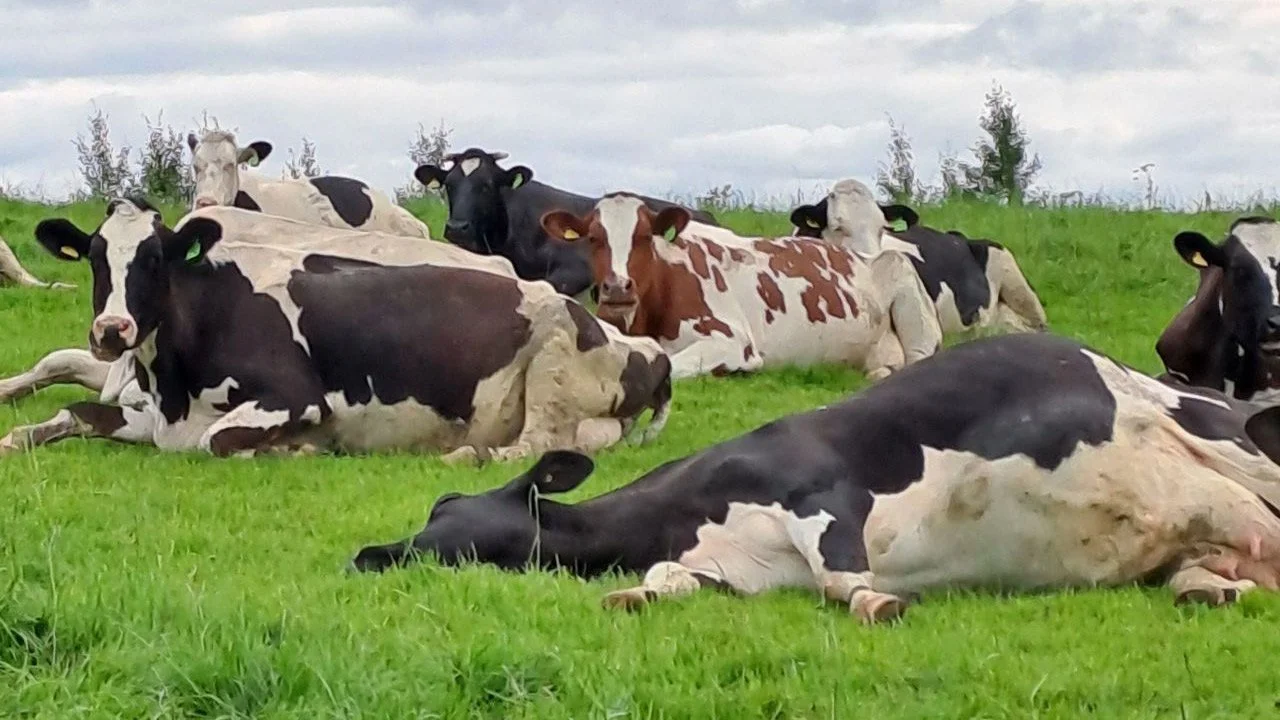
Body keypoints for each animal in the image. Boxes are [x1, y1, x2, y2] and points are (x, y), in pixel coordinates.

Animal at [0, 199, 671, 461]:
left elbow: (217, 438)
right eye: (95, 258)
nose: (113, 329)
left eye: (156, 259)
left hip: (553, 359)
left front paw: (294, 448)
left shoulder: (296, 398)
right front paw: (16, 435)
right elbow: (80, 413)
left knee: (532, 445)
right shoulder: (152, 417)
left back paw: (467, 455)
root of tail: (648, 350)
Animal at [353, 332, 1280, 623]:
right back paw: (1211, 587)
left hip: (1233, 445)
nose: (370, 553)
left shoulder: (820, 492)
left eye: (448, 523)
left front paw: (879, 601)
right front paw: (635, 593)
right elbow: (669, 583)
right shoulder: (723, 567)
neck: (687, 510)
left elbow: (842, 577)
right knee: (1215, 564)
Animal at [537, 192, 942, 380]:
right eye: (593, 238)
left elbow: (672, 362)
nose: (618, 287)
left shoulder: (732, 340)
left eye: (644, 236)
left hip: (904, 285)